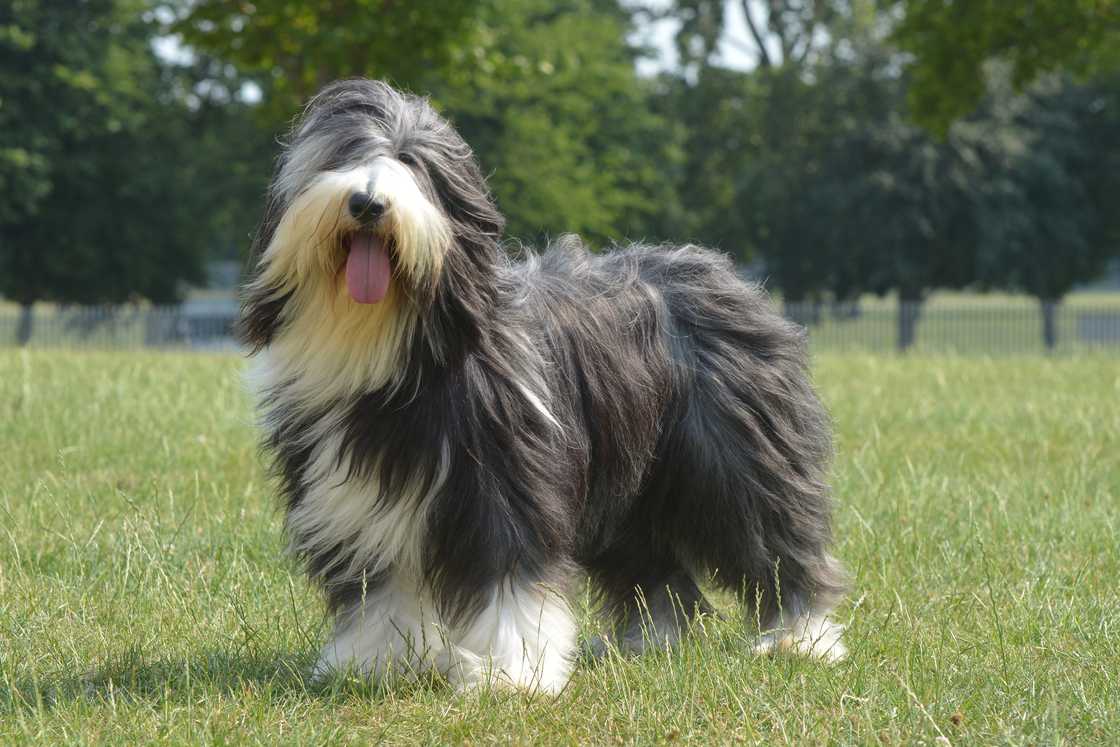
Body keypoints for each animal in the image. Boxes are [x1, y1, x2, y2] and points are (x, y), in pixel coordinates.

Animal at [238, 78, 846, 694]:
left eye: (412, 163)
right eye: (344, 155)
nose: (367, 204)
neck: (402, 357)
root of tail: (725, 275)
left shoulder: (507, 484)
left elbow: (512, 583)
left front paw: (512, 675)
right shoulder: (361, 501)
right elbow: (381, 590)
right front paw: (376, 663)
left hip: (734, 460)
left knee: (775, 541)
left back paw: (802, 636)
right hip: (630, 480)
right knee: (654, 565)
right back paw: (651, 641)